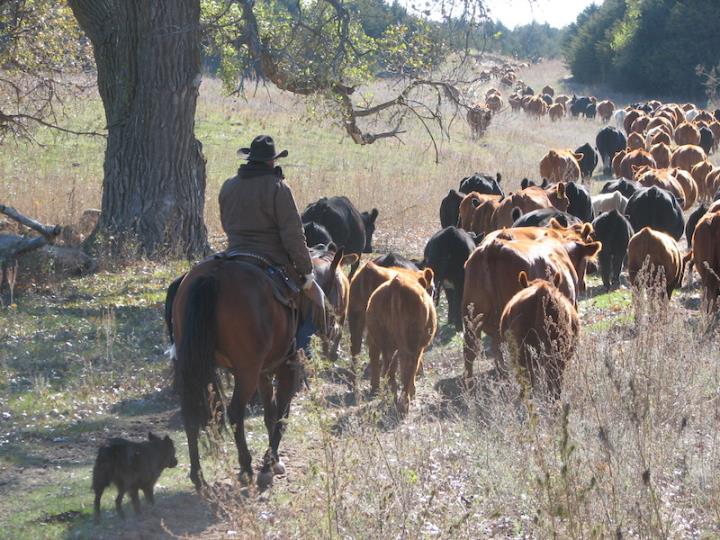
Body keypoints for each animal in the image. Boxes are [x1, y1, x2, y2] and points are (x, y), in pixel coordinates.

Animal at [169, 245, 348, 490]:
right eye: (340, 290)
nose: (337, 333)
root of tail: (215, 273)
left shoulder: (264, 373)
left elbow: (270, 413)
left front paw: (275, 460)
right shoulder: (288, 369)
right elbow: (282, 414)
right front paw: (268, 464)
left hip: (195, 369)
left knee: (191, 413)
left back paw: (199, 477)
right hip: (246, 373)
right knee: (235, 412)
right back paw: (245, 467)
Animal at [368, 268, 436, 412]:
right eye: (432, 288)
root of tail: (396, 283)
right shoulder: (420, 348)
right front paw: (413, 391)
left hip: (386, 342)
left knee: (389, 367)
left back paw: (392, 398)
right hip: (412, 343)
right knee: (408, 367)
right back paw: (405, 403)